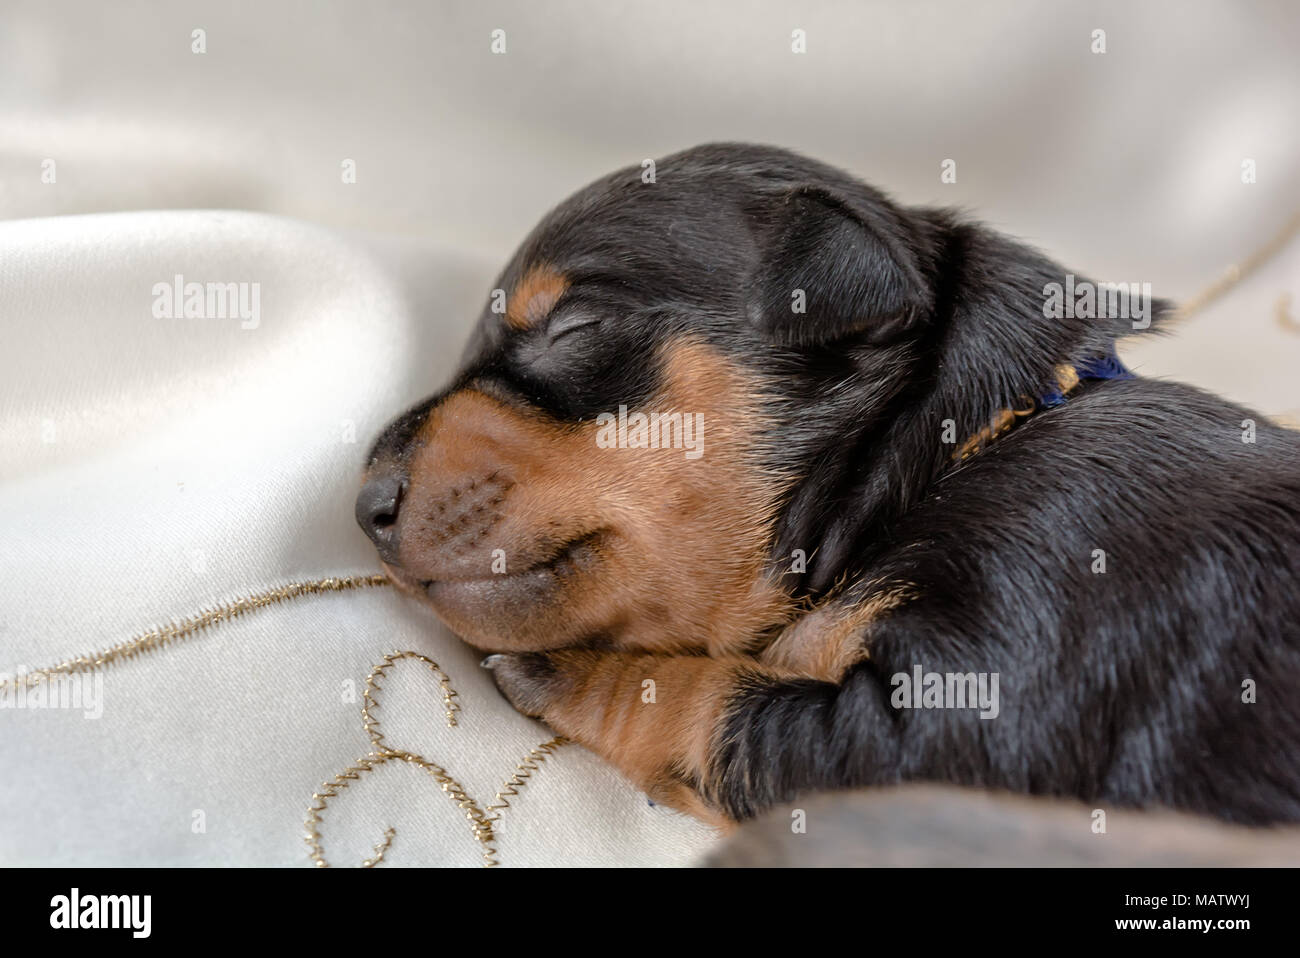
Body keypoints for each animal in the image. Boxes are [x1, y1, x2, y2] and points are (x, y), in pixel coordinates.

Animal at [353, 143, 1300, 831]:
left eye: (574, 326)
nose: (363, 503)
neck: (955, 456)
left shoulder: (989, 691)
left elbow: (714, 705)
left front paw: (570, 672)